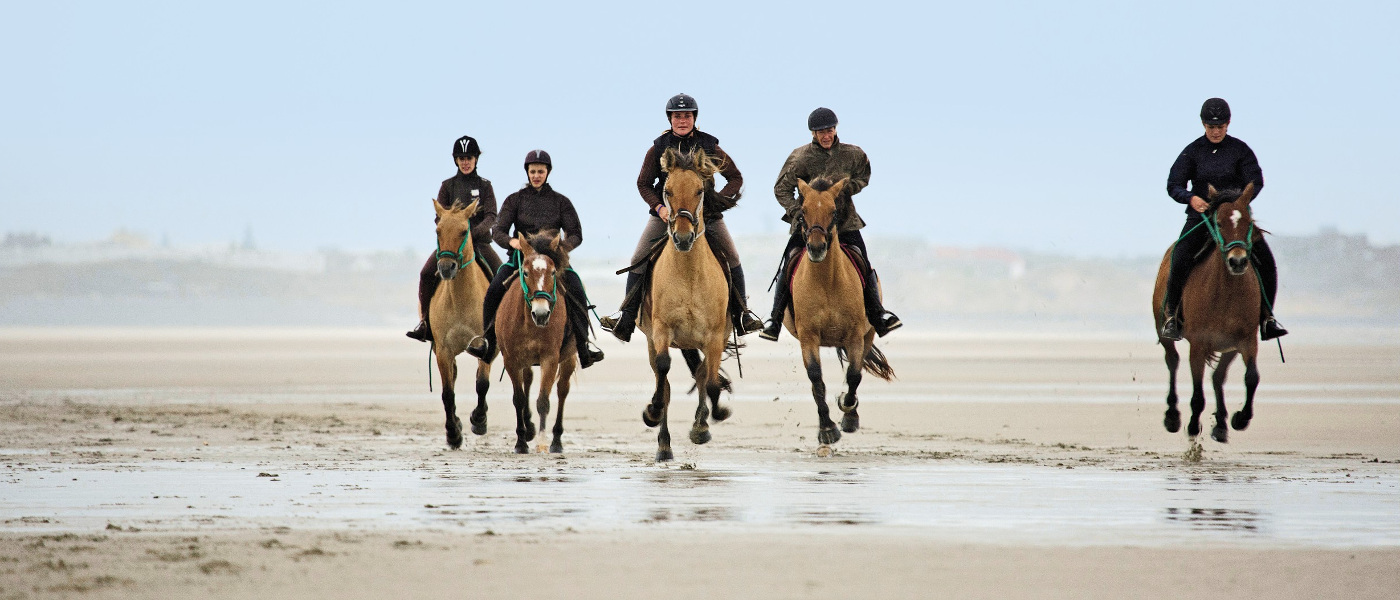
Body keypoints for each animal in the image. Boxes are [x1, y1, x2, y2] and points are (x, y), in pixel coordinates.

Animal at [428, 198, 495, 447]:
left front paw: (479, 420)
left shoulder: (485, 345)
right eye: (437, 230)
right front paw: (453, 433)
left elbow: (482, 384)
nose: (446, 268)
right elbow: (448, 392)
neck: (461, 299)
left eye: (464, 231)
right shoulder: (443, 350)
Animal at [495, 232, 576, 450]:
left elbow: (543, 401)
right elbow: (519, 399)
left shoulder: (550, 358)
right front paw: (521, 442)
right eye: (525, 273)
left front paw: (542, 442)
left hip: (569, 359)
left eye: (553, 272)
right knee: (528, 381)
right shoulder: (512, 360)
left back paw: (556, 441)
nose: (541, 314)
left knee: (562, 390)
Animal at [641, 147, 739, 461]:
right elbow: (663, 372)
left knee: (702, 373)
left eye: (699, 190)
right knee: (666, 382)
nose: (683, 238)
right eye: (668, 191)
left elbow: (710, 380)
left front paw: (705, 425)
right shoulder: (661, 330)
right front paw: (652, 412)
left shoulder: (714, 336)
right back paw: (663, 445)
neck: (688, 274)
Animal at [784, 177, 890, 447]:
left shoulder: (855, 336)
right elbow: (816, 381)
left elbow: (854, 376)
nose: (816, 247)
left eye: (833, 211)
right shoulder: (808, 337)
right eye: (803, 212)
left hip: (868, 334)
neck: (826, 282)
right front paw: (827, 428)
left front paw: (848, 412)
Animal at [1153, 181, 1265, 439]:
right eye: (1219, 223)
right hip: (1164, 331)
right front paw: (1193, 426)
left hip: (1229, 347)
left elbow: (1252, 377)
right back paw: (1172, 417)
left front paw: (1240, 418)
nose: (1237, 261)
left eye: (1248, 222)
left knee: (1218, 376)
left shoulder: (1246, 340)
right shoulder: (1199, 343)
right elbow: (1197, 393)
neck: (1226, 293)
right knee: (1172, 361)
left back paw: (1222, 425)